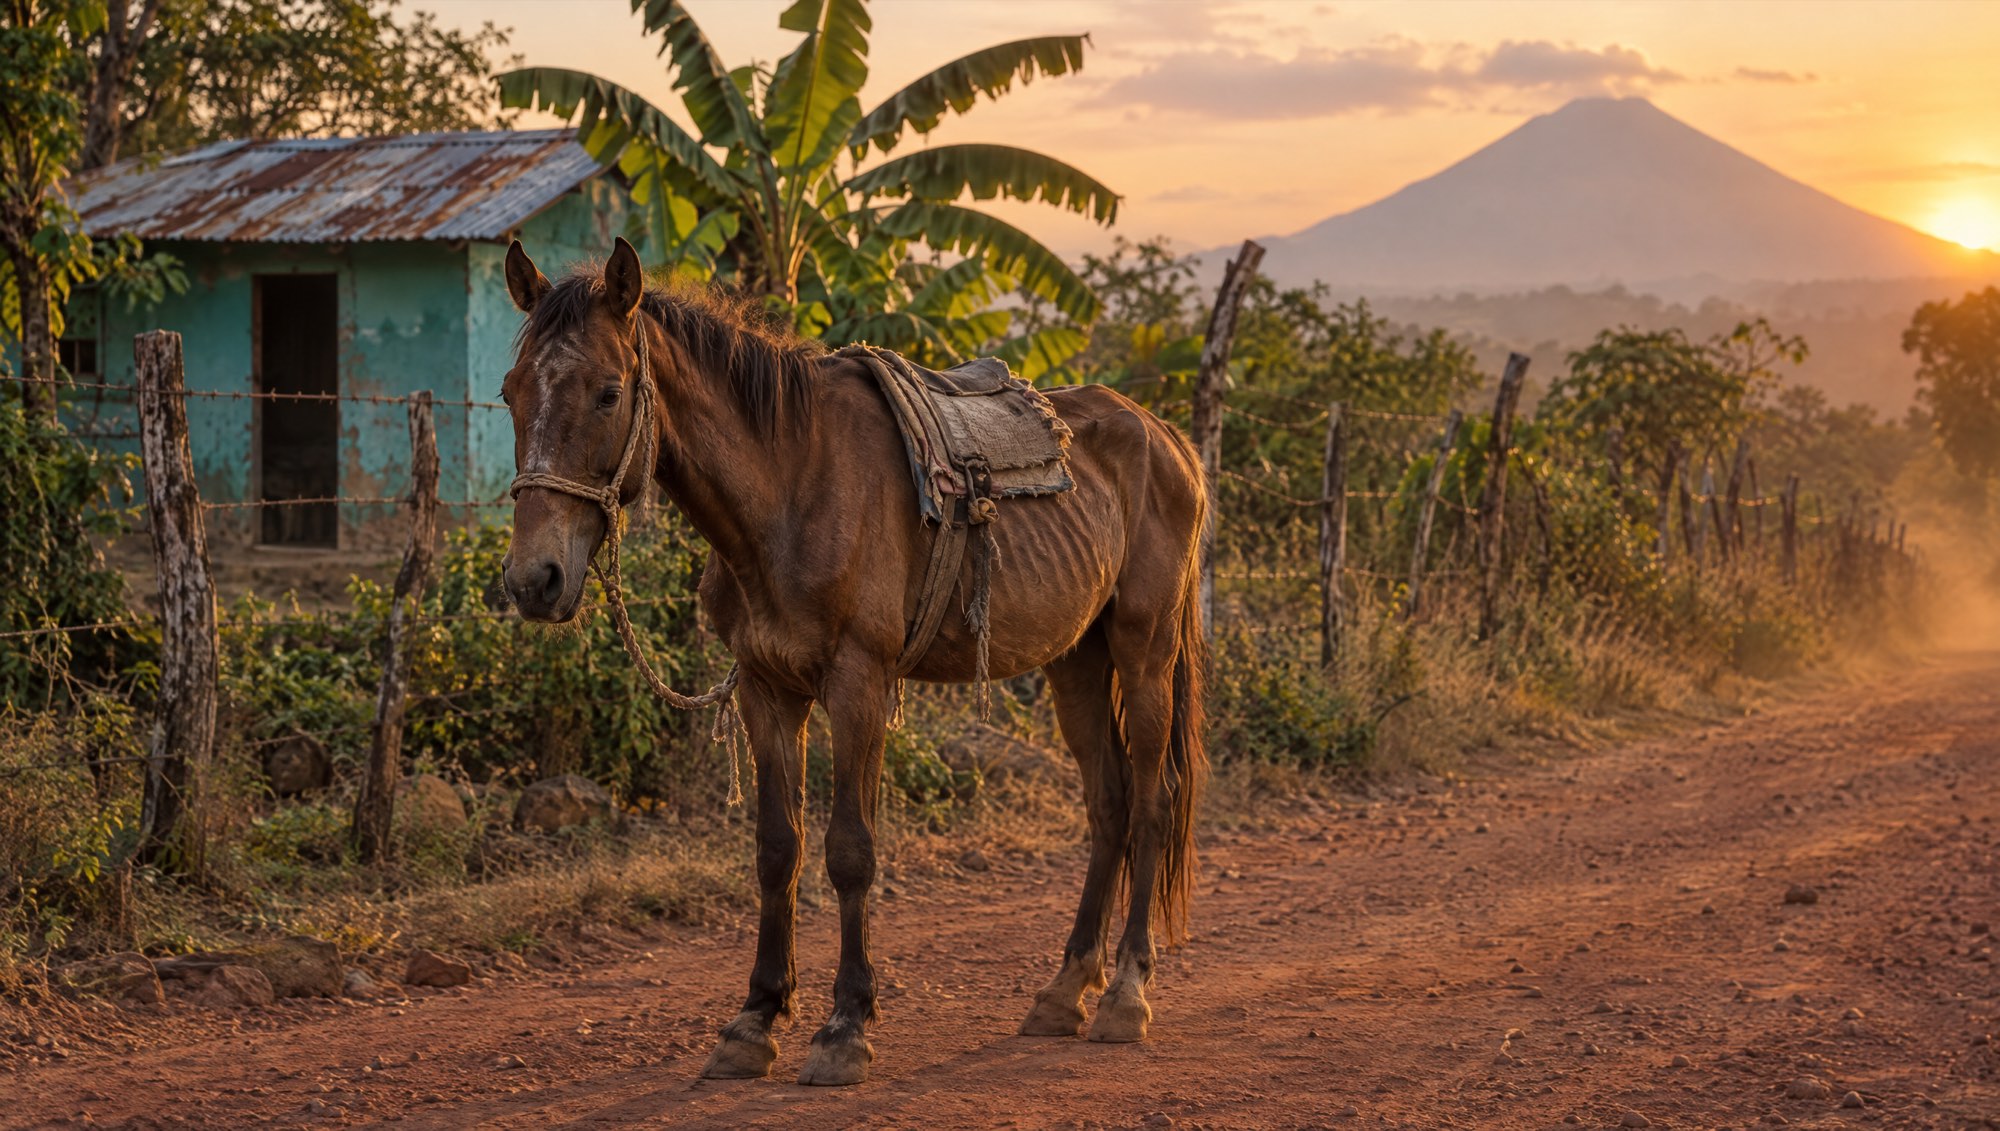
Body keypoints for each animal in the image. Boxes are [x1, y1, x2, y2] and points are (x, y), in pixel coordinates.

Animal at [497, 237, 1208, 1087]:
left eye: (608, 393)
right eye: (509, 393)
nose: (534, 580)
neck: (791, 486)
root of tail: (1166, 437)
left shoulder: (859, 684)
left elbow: (849, 851)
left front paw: (845, 1024)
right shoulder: (766, 690)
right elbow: (778, 849)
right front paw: (755, 1017)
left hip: (1145, 646)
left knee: (1153, 799)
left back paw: (1126, 992)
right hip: (1075, 658)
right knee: (1108, 804)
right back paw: (1065, 989)